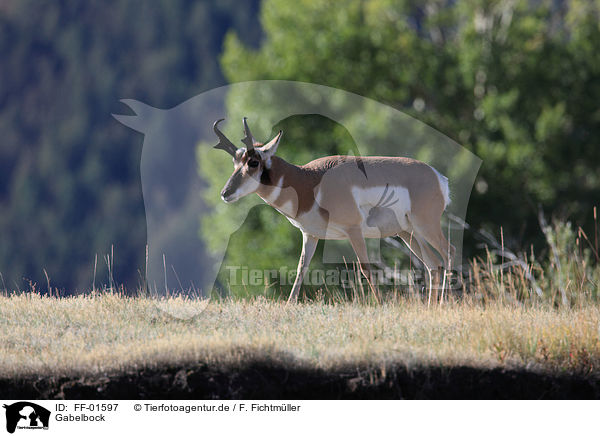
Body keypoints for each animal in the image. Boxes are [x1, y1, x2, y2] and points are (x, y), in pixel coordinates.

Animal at [216, 117, 454, 302]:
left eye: (253, 162)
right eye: (235, 163)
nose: (225, 193)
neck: (311, 181)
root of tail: (437, 176)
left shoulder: (353, 230)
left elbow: (365, 268)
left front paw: (380, 305)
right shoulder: (310, 235)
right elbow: (300, 269)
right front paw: (289, 305)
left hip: (425, 226)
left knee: (448, 252)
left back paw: (444, 304)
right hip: (409, 233)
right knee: (433, 265)